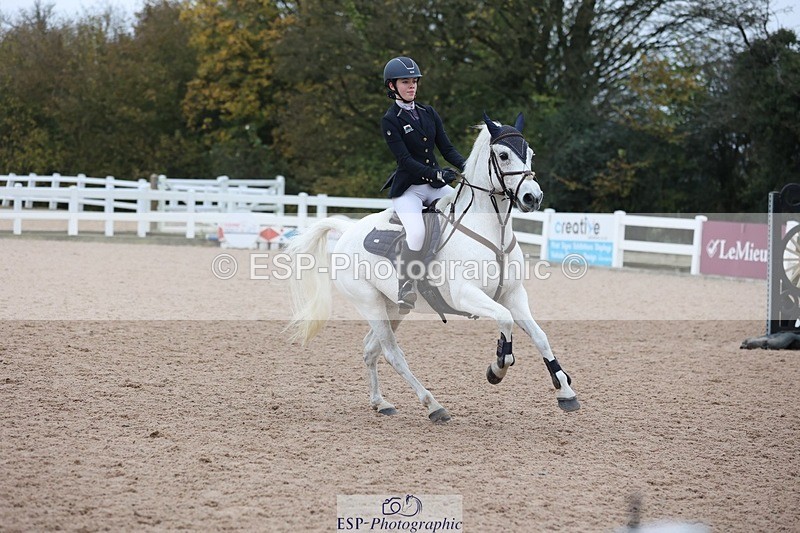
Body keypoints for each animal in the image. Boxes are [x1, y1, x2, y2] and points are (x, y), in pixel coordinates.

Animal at [286, 112, 580, 422]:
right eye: (503, 155)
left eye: (531, 154)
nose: (532, 197)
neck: (492, 233)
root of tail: (347, 230)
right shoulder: (467, 295)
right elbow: (505, 320)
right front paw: (497, 368)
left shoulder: (513, 295)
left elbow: (540, 336)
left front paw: (565, 390)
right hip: (370, 303)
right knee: (392, 353)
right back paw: (432, 405)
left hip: (394, 307)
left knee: (370, 350)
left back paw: (381, 402)